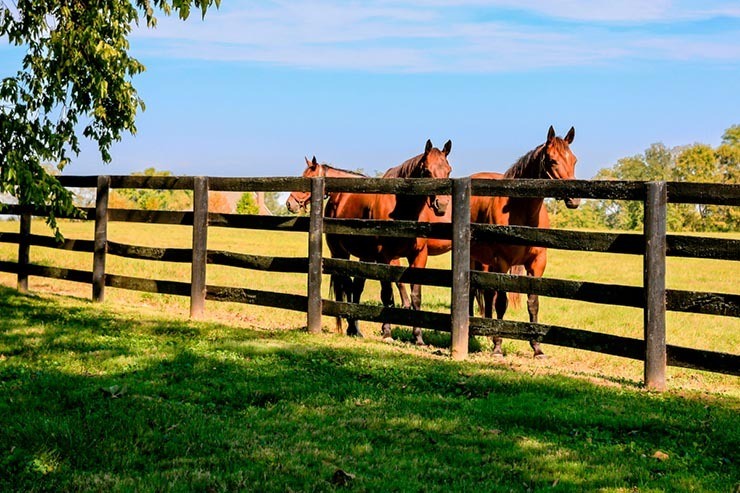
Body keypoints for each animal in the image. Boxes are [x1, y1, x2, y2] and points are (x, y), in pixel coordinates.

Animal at [472, 126, 580, 358]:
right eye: (552, 160)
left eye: (574, 160)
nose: (574, 200)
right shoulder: (502, 263)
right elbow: (501, 303)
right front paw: (498, 346)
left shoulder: (537, 264)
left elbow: (533, 303)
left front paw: (537, 348)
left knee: (487, 294)